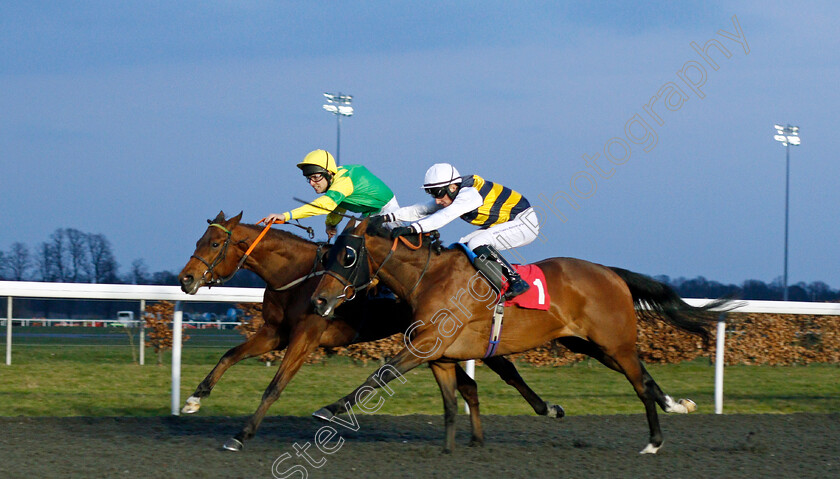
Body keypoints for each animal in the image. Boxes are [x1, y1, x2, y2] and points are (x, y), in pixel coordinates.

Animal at [178, 212, 564, 452]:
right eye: (198, 240)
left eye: (215, 244)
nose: (186, 279)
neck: (299, 275)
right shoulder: (276, 333)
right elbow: (229, 355)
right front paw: (195, 398)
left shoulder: (305, 337)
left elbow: (274, 387)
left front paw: (241, 436)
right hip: (439, 342)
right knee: (469, 385)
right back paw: (478, 438)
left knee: (507, 372)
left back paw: (547, 408)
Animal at [312, 219, 732, 456]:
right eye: (326, 255)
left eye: (347, 256)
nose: (319, 300)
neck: (428, 278)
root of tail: (610, 272)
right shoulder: (439, 355)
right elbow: (452, 401)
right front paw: (451, 450)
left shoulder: (424, 347)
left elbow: (379, 375)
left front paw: (329, 409)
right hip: (592, 345)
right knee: (643, 377)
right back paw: (677, 405)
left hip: (615, 343)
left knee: (640, 385)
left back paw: (654, 441)